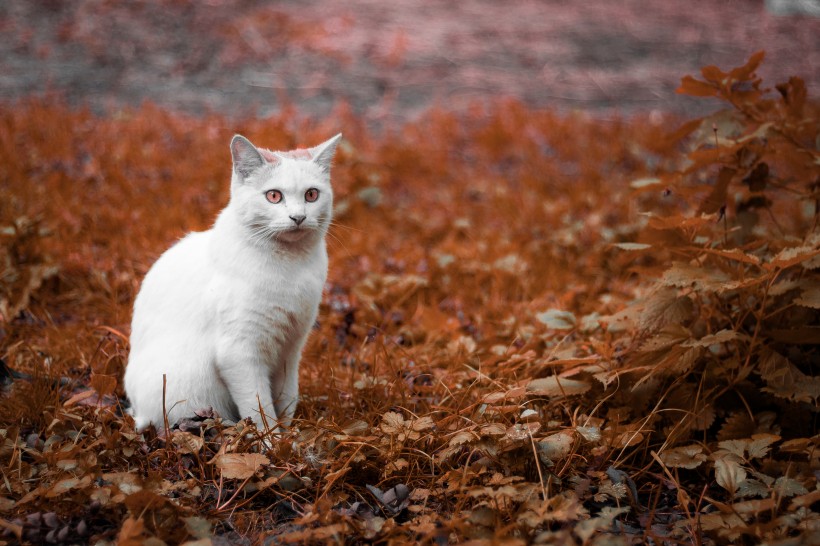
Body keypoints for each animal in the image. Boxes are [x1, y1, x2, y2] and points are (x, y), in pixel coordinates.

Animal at [123, 133, 342, 434]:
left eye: (312, 194)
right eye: (274, 196)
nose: (298, 217)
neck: (291, 266)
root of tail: (136, 413)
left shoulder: (291, 348)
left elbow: (287, 397)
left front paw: (290, 435)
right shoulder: (239, 353)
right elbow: (259, 408)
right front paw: (270, 441)